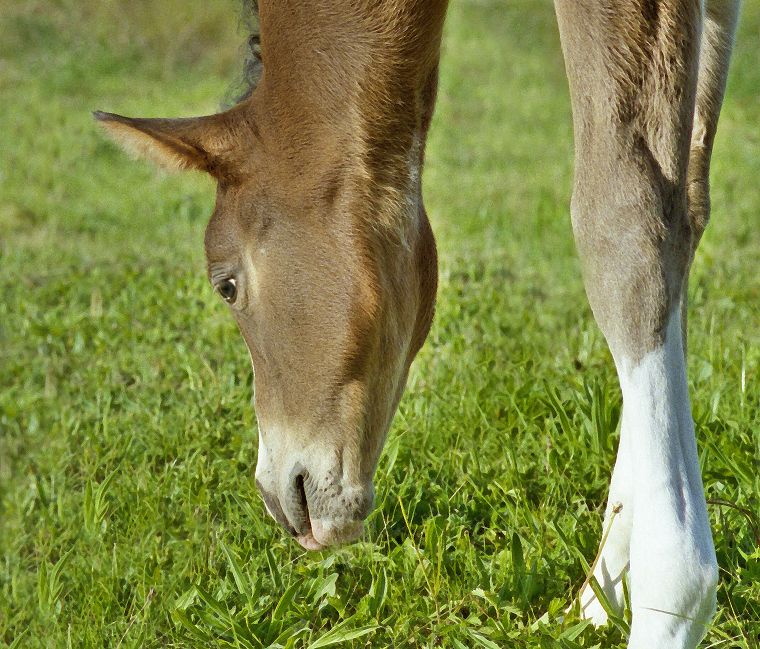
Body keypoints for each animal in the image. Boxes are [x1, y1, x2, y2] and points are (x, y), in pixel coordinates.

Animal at [95, 1, 741, 647]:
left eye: (225, 285)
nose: (281, 501)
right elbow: (686, 208)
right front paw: (601, 595)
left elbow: (623, 221)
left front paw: (669, 598)